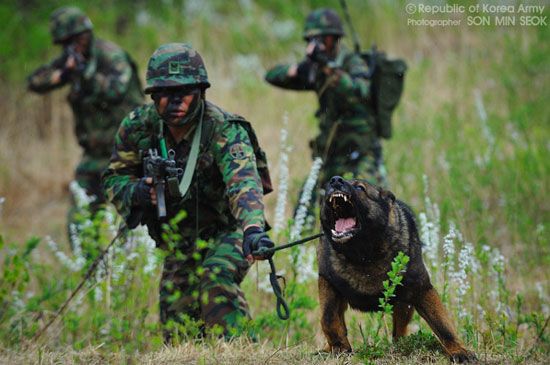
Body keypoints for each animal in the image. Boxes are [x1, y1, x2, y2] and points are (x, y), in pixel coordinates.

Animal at [320, 176, 478, 362]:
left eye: (360, 188)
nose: (335, 180)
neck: (364, 255)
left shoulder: (422, 289)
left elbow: (442, 324)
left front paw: (459, 350)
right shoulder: (327, 281)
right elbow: (328, 319)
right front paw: (339, 346)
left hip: (403, 301)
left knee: (399, 329)